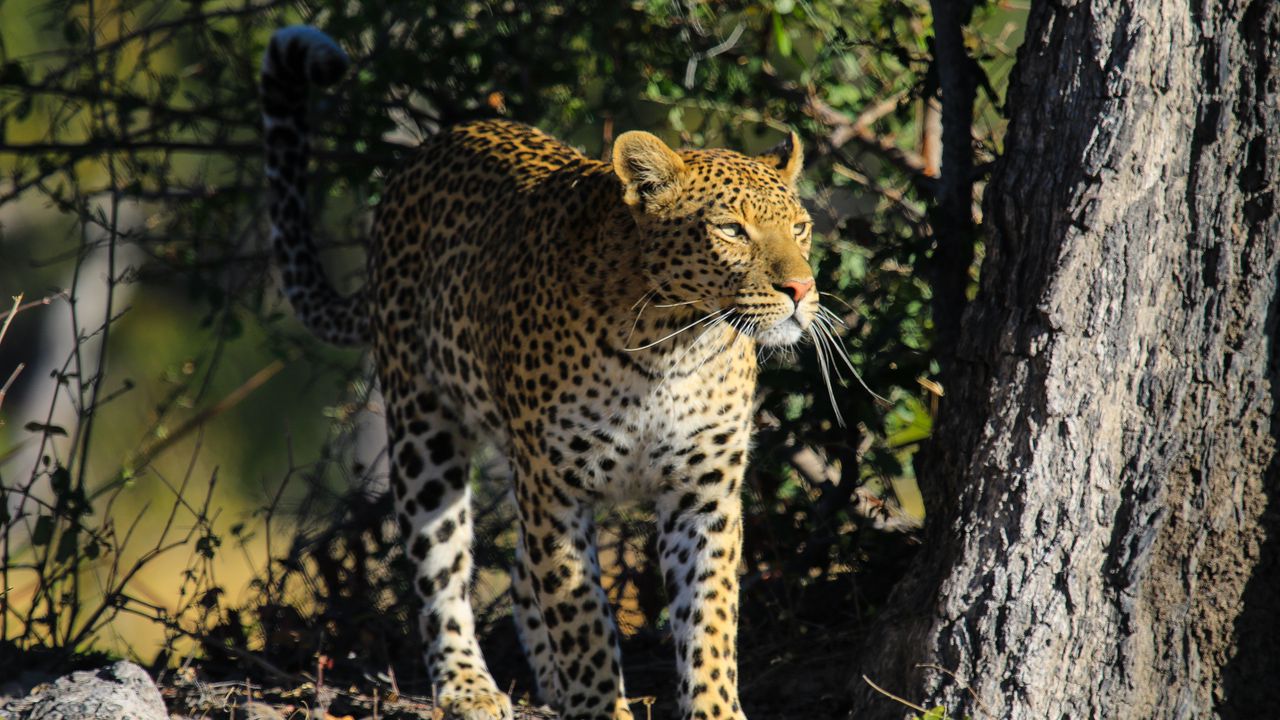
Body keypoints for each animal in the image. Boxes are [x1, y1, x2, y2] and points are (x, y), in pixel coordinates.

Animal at [261, 26, 824, 720]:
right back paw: (469, 685)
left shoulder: (704, 492)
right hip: (426, 430)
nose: (802, 289)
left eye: (799, 227)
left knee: (521, 574)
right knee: (441, 568)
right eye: (730, 230)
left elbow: (710, 617)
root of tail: (432, 148)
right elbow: (579, 611)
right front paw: (600, 705)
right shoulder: (555, 486)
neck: (675, 347)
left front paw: (714, 707)